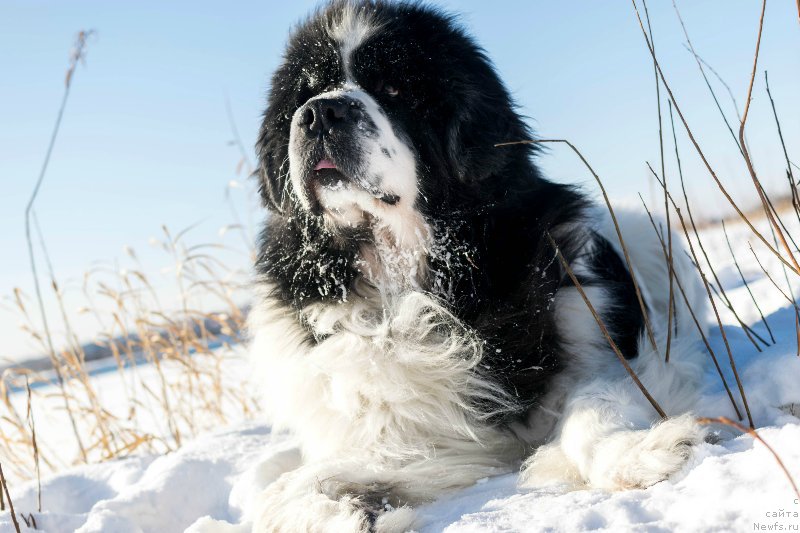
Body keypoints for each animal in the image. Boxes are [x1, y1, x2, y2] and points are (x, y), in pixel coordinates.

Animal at [248, 3, 708, 528]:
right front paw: (343, 511)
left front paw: (640, 452)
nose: (320, 112)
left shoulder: (604, 338)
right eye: (303, 95)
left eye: (395, 89)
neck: (416, 276)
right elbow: (294, 487)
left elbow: (595, 403)